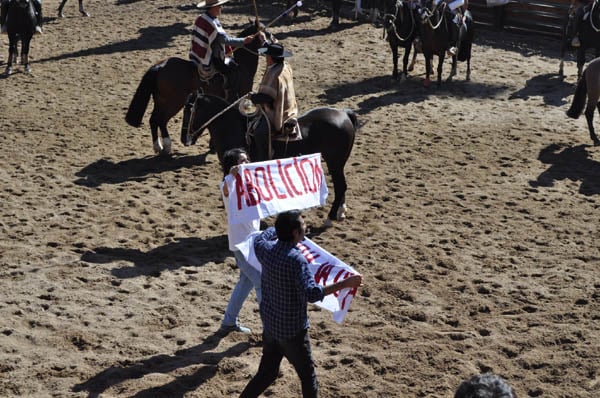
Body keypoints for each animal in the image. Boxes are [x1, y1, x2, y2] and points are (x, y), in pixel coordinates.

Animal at [124, 21, 270, 155]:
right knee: (161, 120)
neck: (242, 64)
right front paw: (212, 146)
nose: (273, 44)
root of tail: (159, 66)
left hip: (161, 101)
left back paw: (158, 147)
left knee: (154, 120)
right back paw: (166, 146)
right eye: (267, 34)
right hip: (174, 102)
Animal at [183, 94, 358, 224]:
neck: (232, 128)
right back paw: (341, 211)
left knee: (341, 186)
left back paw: (330, 217)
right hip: (339, 163)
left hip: (334, 162)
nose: (185, 139)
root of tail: (344, 114)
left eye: (189, 110)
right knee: (341, 186)